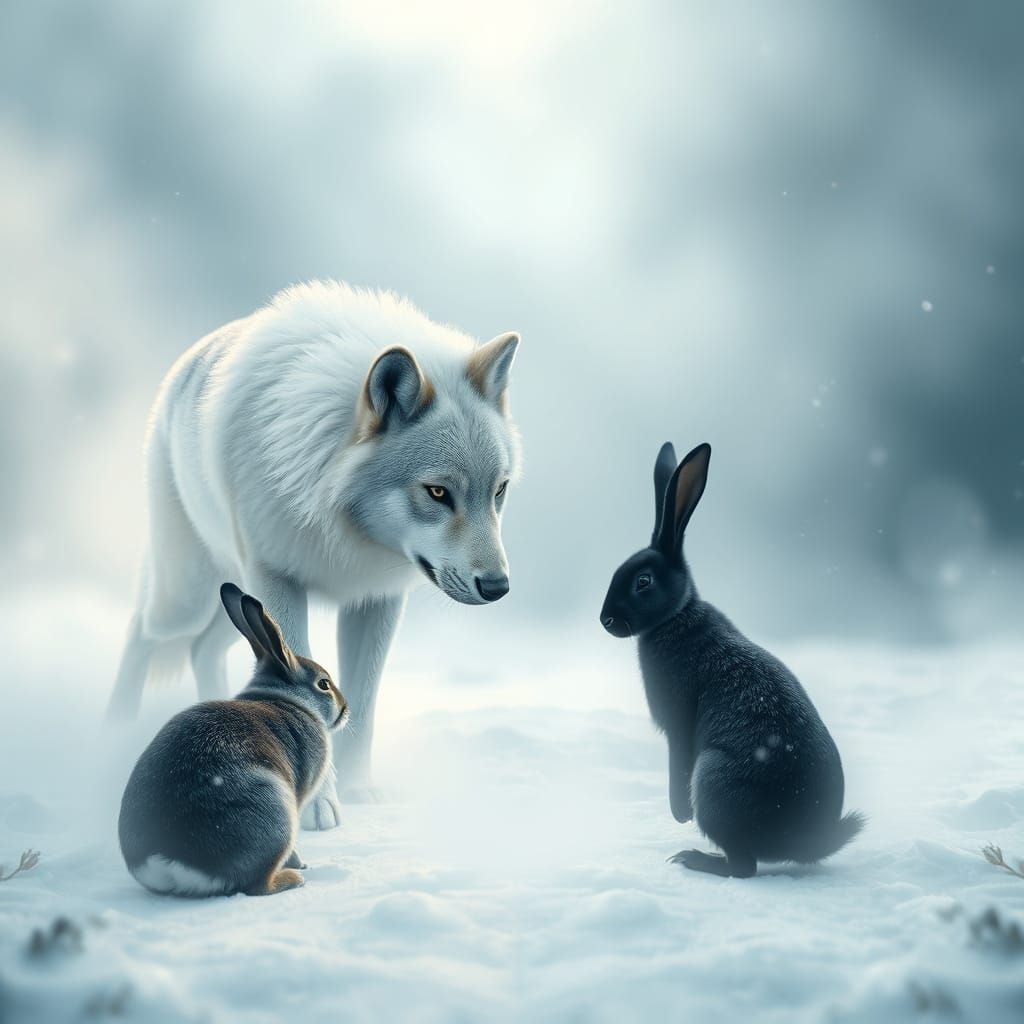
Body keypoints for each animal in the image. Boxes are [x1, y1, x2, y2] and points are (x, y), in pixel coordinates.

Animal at [107, 281, 521, 830]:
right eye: (437, 493)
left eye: (499, 491)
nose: (498, 587)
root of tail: (185, 362)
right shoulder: (278, 580)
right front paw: (319, 804)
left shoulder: (376, 599)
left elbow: (363, 703)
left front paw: (360, 790)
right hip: (188, 597)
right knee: (141, 631)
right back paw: (111, 732)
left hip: (235, 599)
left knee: (202, 650)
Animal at [118, 583, 349, 897]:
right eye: (323, 684)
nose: (346, 707)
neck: (290, 699)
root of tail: (169, 862)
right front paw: (300, 863)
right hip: (278, 814)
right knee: (257, 885)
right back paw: (292, 878)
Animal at [600, 441, 864, 878]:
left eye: (643, 581)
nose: (605, 620)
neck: (676, 616)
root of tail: (805, 843)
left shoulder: (677, 726)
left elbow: (677, 763)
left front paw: (680, 814)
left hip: (712, 776)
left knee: (744, 867)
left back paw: (695, 858)